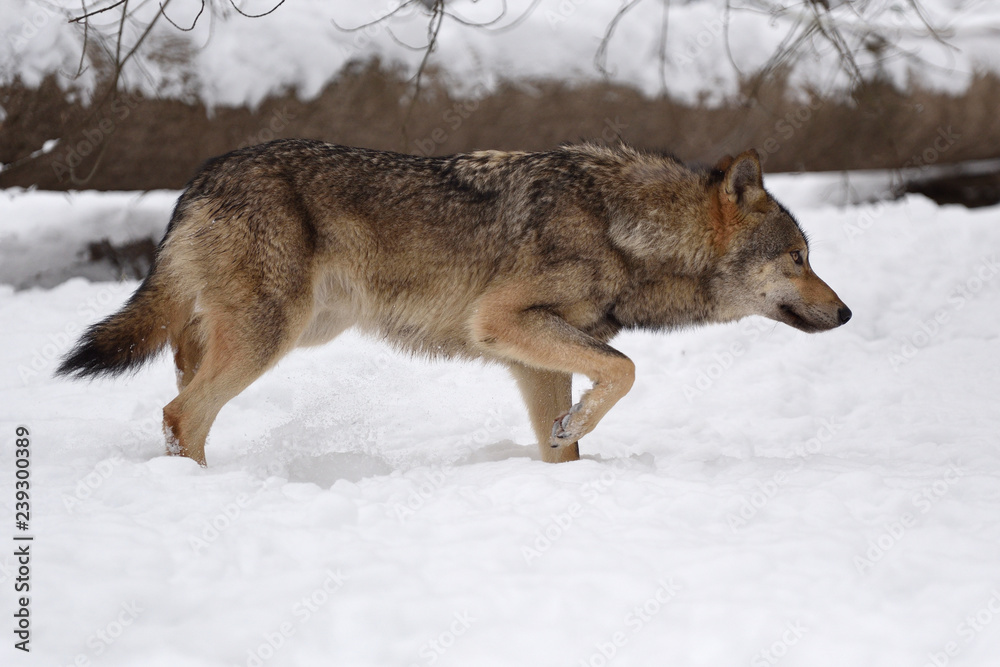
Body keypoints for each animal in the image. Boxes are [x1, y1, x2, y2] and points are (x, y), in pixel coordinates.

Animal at [56, 141, 852, 464]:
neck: (623, 228)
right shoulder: (502, 323)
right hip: (272, 336)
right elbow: (626, 369)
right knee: (180, 413)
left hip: (293, 328)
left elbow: (566, 441)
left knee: (181, 376)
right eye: (799, 258)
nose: (845, 313)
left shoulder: (532, 359)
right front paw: (577, 426)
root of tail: (202, 176)